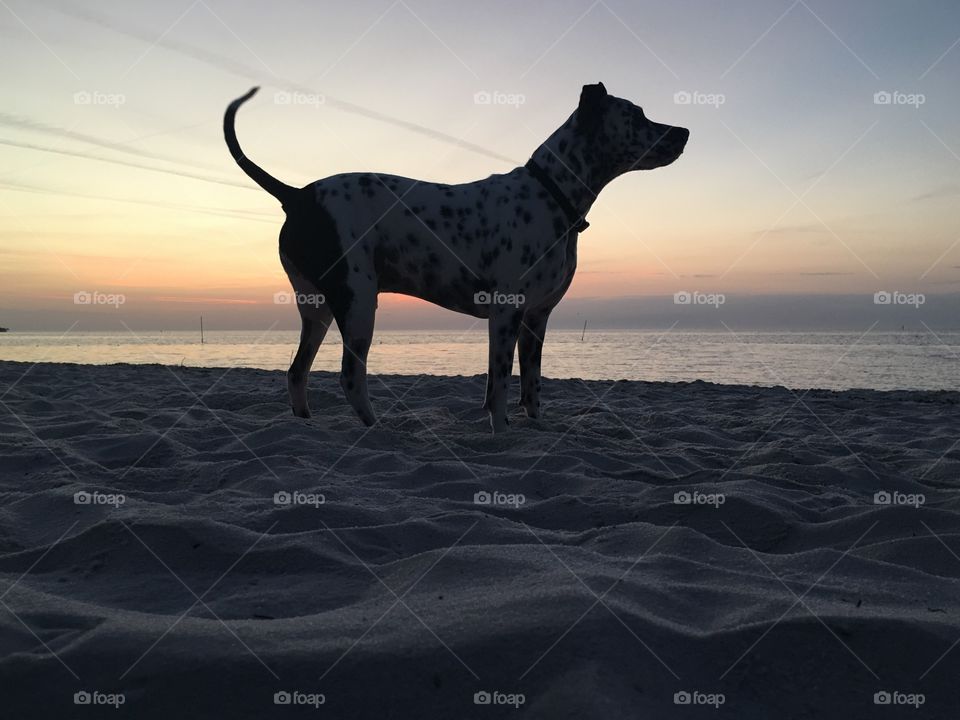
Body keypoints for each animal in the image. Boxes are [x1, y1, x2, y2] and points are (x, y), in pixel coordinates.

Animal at [223, 84, 688, 434]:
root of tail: (298, 195)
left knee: (296, 371)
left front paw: (534, 427)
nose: (684, 131)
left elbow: (531, 387)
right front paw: (501, 433)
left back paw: (306, 422)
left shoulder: (535, 319)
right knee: (350, 377)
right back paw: (379, 429)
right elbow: (500, 387)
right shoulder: (506, 314)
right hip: (358, 303)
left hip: (317, 310)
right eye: (637, 114)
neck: (550, 194)